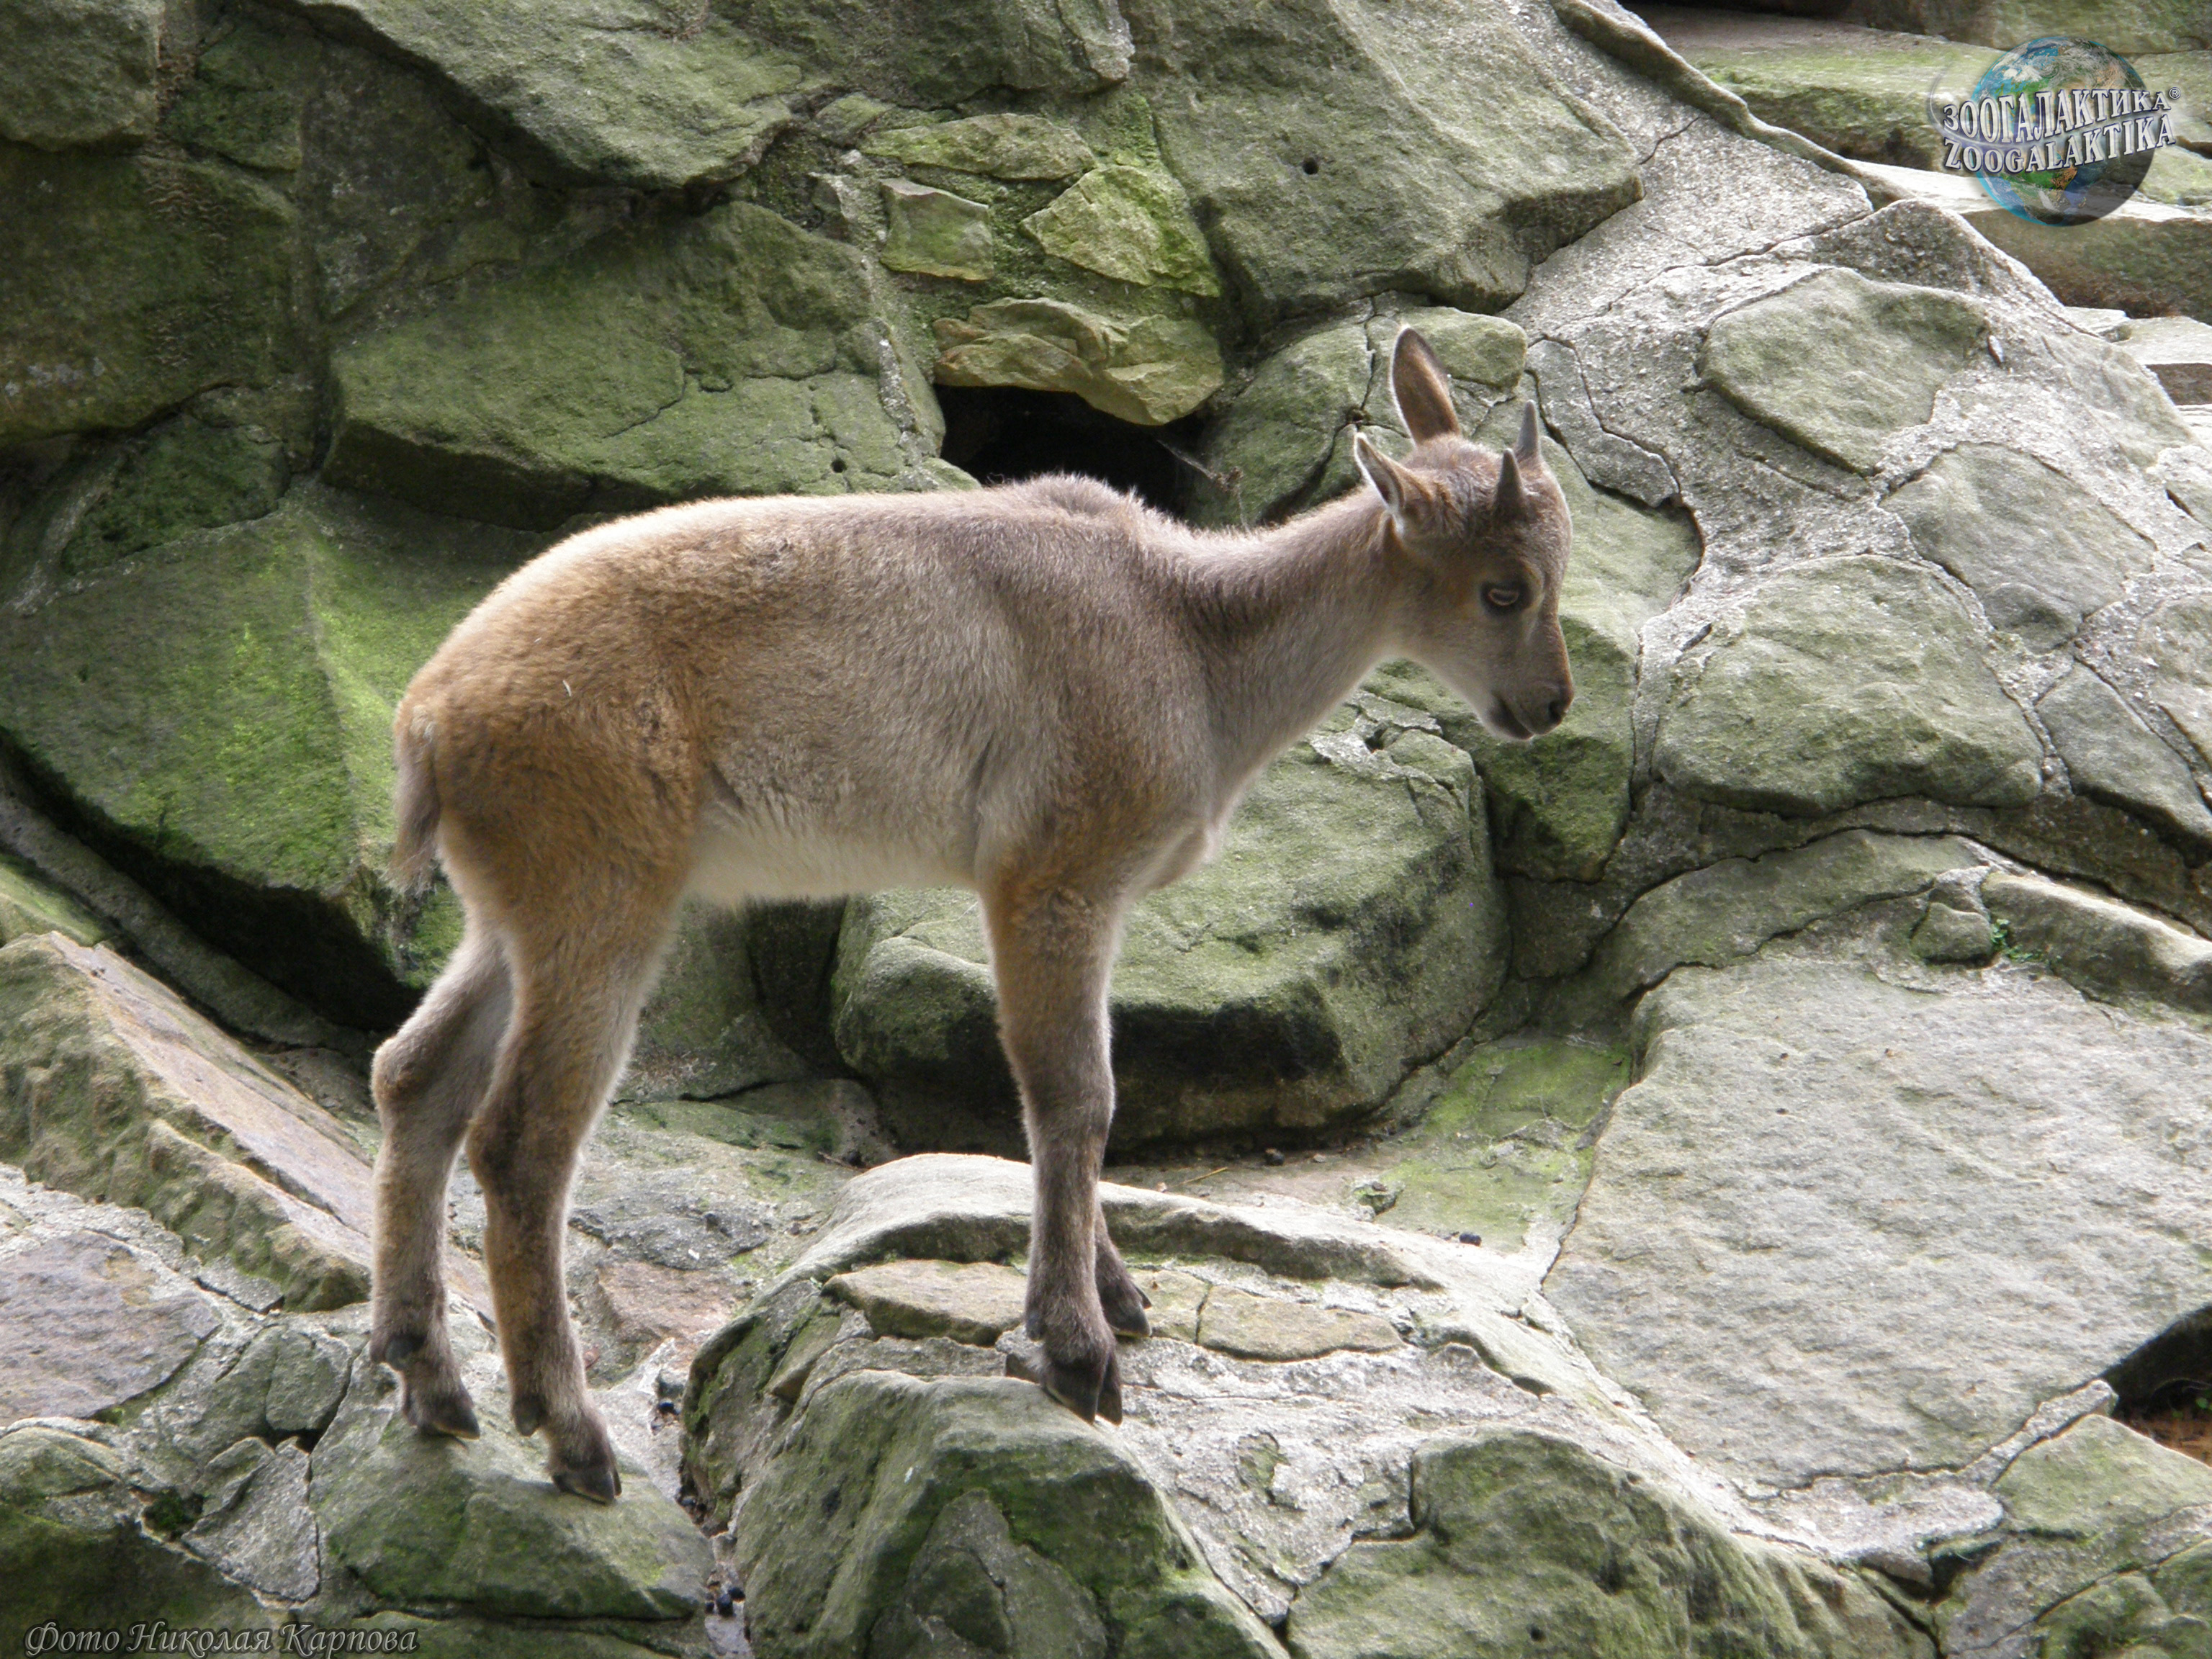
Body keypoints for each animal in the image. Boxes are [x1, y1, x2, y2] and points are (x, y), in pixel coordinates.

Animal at [367, 327, 1574, 1502]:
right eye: (1502, 589)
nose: (1551, 704)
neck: (1191, 637)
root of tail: (430, 717)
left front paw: (1111, 1295)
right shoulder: (1052, 879)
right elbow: (1076, 1096)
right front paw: (1079, 1351)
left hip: (515, 917)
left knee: (414, 1077)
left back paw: (431, 1380)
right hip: (603, 901)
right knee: (521, 1139)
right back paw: (569, 1433)